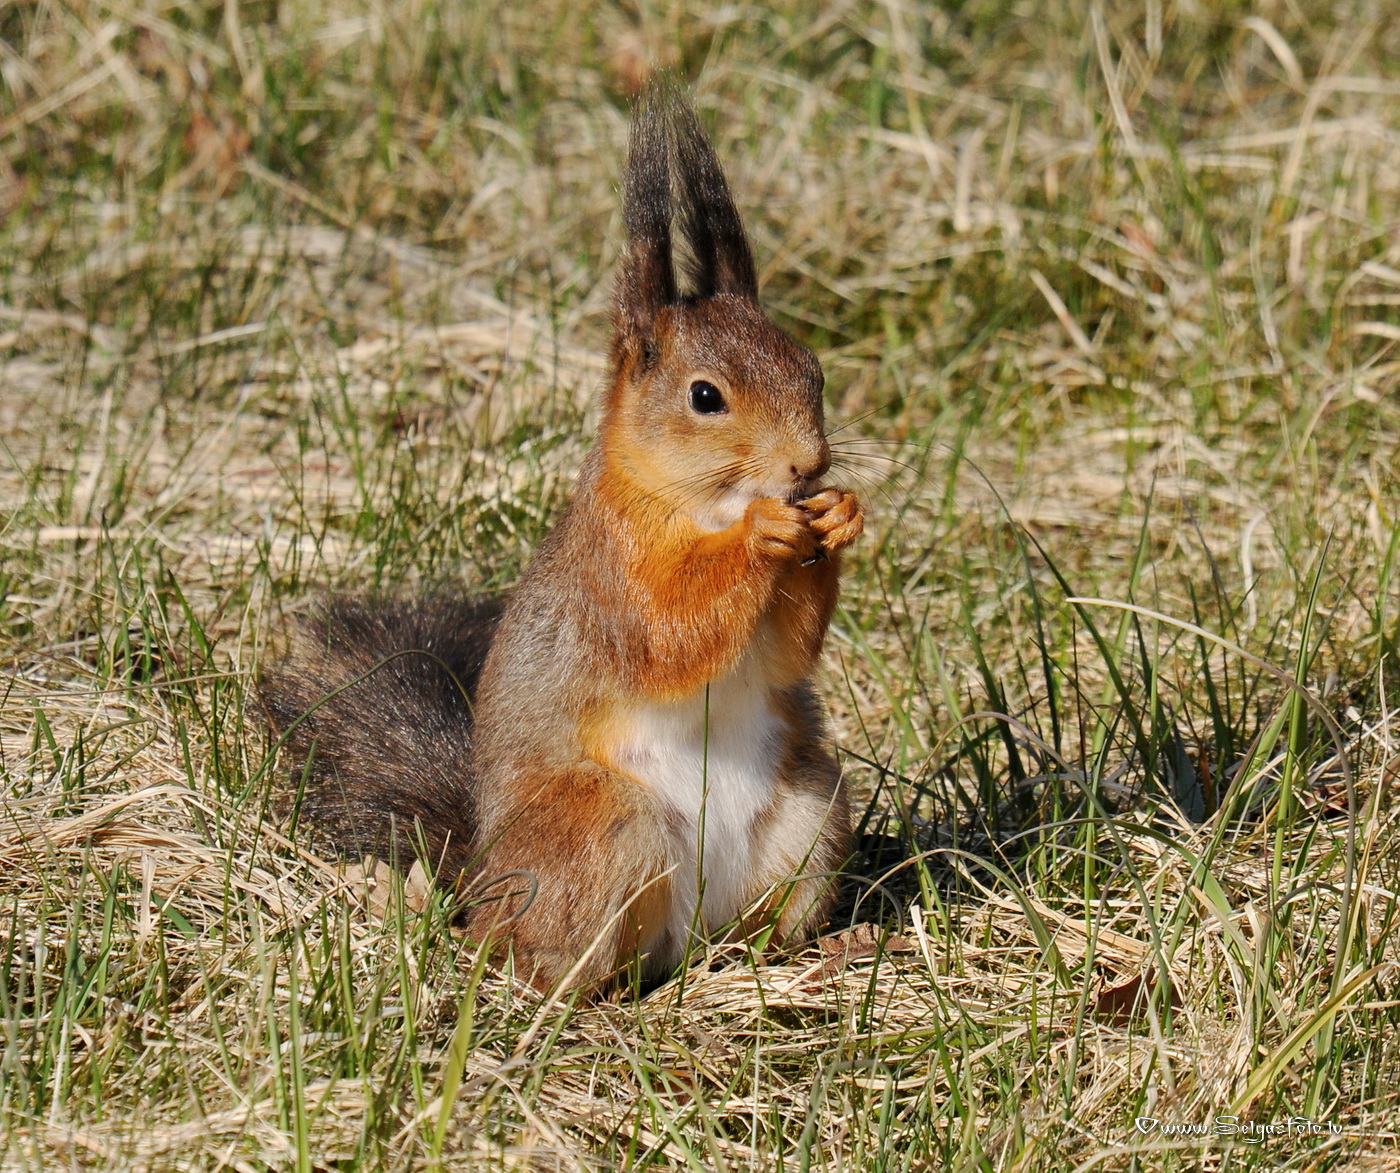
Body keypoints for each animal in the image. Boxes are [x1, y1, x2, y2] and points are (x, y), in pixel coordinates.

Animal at [261, 79, 864, 994]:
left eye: (813, 368)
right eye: (705, 397)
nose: (807, 464)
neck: (701, 507)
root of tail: (486, 880)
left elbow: (786, 653)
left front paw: (840, 516)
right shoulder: (609, 570)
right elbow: (668, 632)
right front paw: (765, 533)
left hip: (809, 812)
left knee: (756, 923)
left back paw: (807, 950)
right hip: (605, 829)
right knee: (556, 952)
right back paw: (578, 989)